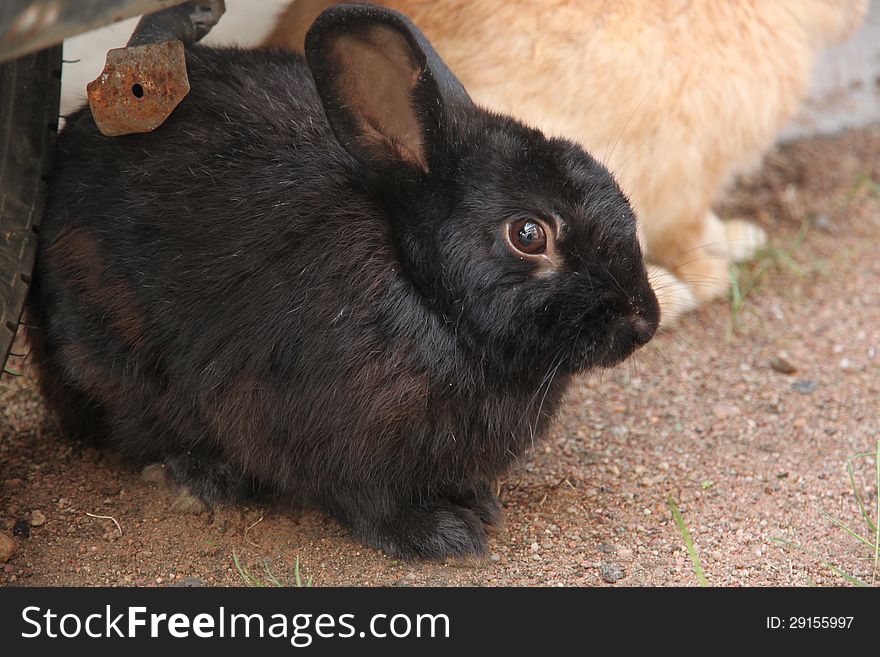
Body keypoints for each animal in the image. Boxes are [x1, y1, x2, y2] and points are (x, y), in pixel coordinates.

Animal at [25, 3, 660, 560]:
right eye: (529, 235)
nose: (644, 321)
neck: (428, 299)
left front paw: (479, 504)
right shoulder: (327, 440)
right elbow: (366, 500)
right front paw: (442, 535)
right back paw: (204, 477)